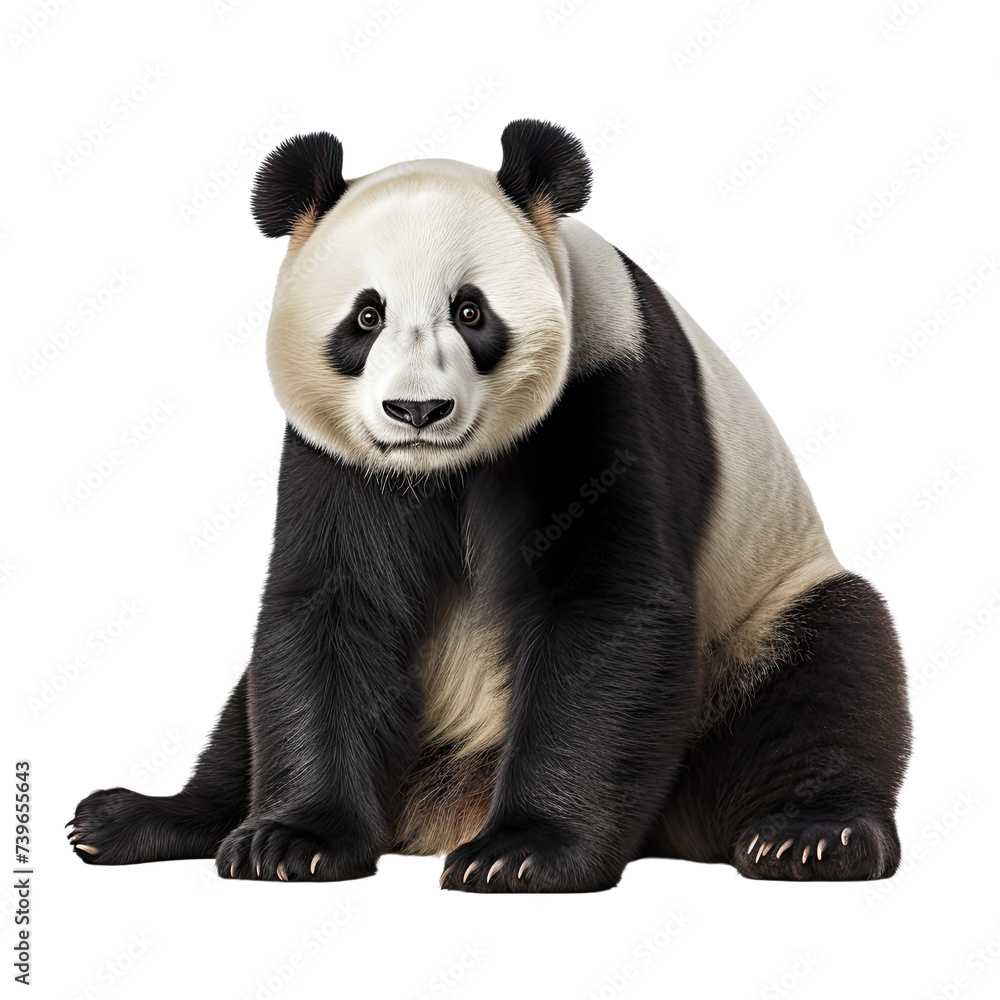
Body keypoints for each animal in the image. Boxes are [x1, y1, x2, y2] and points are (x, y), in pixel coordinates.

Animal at [69, 119, 912, 891]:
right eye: (366, 316)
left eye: (471, 312)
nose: (417, 411)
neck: (444, 468)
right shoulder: (334, 460)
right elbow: (332, 608)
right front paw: (292, 841)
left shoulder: (606, 392)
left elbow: (604, 606)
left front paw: (523, 852)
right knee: (243, 711)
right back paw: (134, 819)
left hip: (761, 607)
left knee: (829, 671)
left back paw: (811, 838)